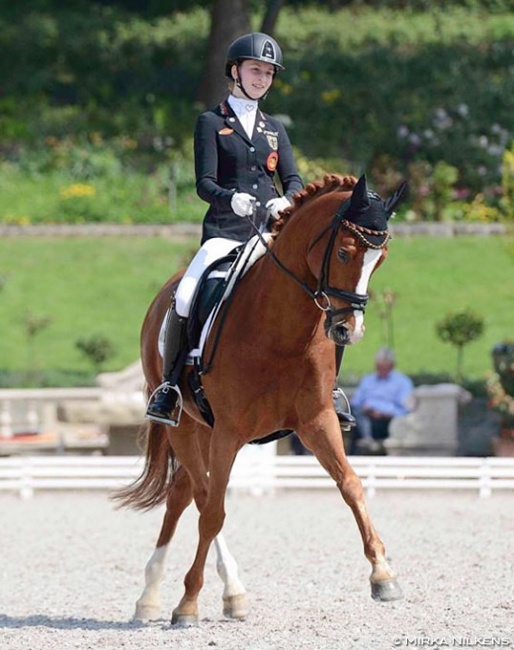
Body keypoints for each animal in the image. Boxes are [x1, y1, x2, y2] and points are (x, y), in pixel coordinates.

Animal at [116, 172, 404, 624]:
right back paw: (180, 593)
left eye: (381, 259)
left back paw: (183, 594)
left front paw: (383, 575)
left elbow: (351, 485)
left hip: (203, 428)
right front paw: (188, 602)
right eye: (344, 252)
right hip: (185, 424)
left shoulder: (317, 421)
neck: (282, 329)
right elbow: (214, 512)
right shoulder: (230, 432)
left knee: (183, 492)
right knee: (201, 496)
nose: (348, 330)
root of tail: (165, 292)